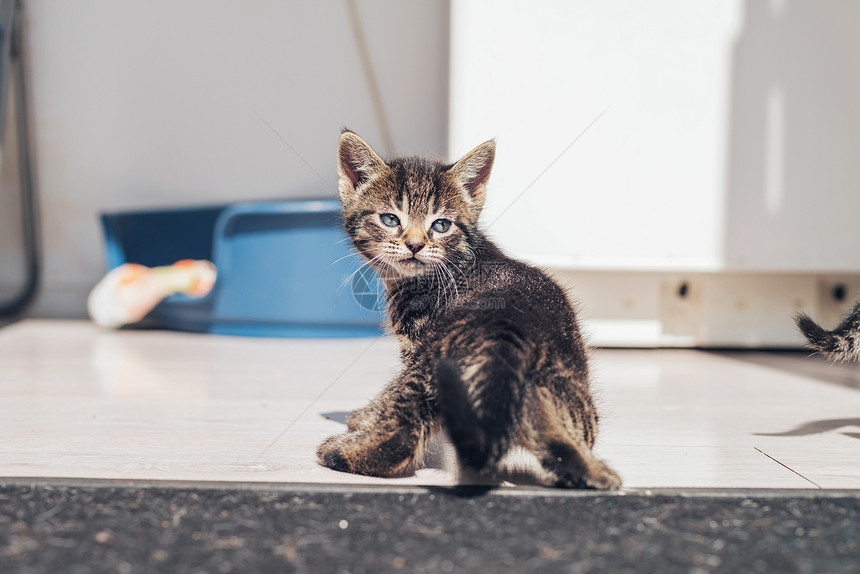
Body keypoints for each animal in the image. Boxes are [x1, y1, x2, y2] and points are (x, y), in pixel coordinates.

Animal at [314, 132, 620, 490]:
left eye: (441, 225)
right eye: (390, 219)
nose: (415, 245)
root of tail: (509, 340)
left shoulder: (414, 347)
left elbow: (389, 393)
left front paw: (364, 417)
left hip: (429, 368)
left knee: (399, 438)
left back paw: (337, 453)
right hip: (577, 410)